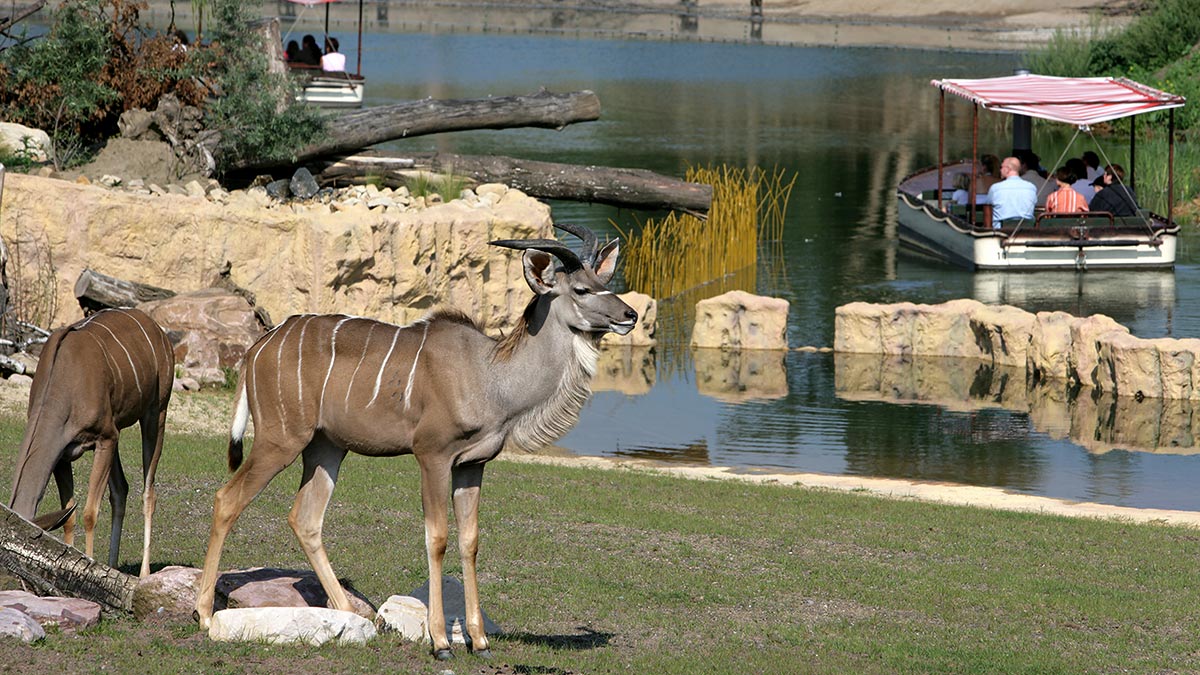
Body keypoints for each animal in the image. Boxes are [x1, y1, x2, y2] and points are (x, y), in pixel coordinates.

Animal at [7, 305, 174, 571]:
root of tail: (159, 331)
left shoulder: (105, 437)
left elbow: (89, 513)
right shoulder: (62, 456)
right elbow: (69, 515)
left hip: (156, 412)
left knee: (149, 492)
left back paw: (144, 573)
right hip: (118, 431)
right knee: (120, 490)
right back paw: (113, 565)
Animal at [194, 223, 638, 653]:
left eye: (603, 279)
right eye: (580, 289)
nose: (630, 315)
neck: (491, 376)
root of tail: (256, 348)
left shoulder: (473, 465)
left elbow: (470, 541)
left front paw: (479, 641)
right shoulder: (433, 456)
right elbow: (437, 538)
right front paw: (440, 641)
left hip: (327, 447)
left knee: (305, 518)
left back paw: (348, 617)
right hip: (281, 439)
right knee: (227, 499)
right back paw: (204, 614)